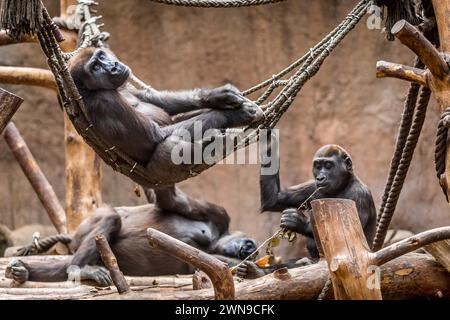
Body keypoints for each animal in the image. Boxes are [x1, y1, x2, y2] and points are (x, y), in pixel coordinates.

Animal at [5, 186, 256, 286]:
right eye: (249, 242)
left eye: (252, 249)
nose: (250, 248)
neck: (216, 240)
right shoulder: (217, 213)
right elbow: (172, 201)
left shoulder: (217, 257)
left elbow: (220, 267)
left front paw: (251, 270)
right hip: (84, 231)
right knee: (111, 218)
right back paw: (78, 269)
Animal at [237, 135, 374, 278]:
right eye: (318, 166)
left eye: (328, 165)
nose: (320, 177)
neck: (344, 184)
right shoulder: (312, 187)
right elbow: (274, 200)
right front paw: (269, 142)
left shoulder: (359, 194)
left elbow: (345, 239)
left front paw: (297, 221)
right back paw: (255, 272)